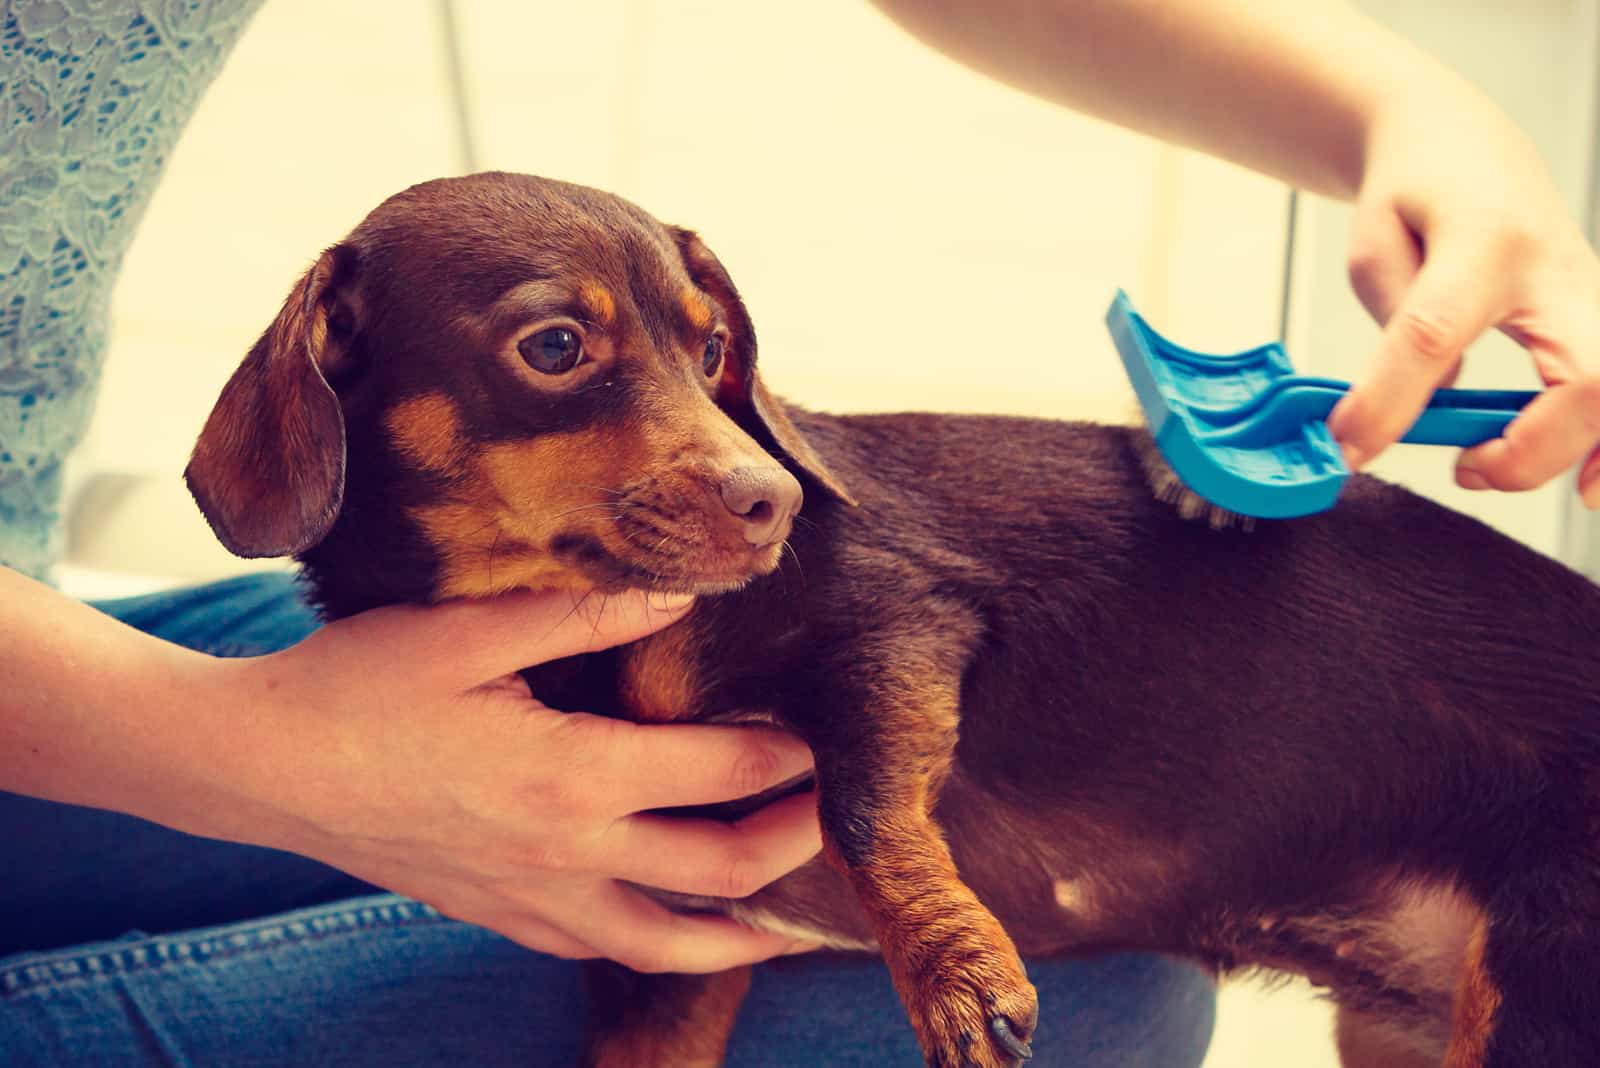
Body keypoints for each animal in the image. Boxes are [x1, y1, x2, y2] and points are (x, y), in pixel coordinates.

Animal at [184, 171, 1600, 1061]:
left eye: (714, 350)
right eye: (553, 349)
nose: (772, 506)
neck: (593, 634)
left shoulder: (897, 626)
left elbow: (863, 805)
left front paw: (955, 972)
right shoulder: (668, 965)